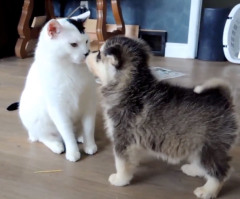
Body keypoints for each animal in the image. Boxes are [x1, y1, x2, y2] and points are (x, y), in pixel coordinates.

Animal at [19, 11, 97, 162]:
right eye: (73, 44)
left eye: (86, 41)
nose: (86, 53)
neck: (72, 68)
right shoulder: (58, 108)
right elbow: (66, 133)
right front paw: (73, 152)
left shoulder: (89, 102)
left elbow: (89, 128)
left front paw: (90, 145)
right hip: (38, 122)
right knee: (42, 137)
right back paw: (56, 145)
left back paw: (80, 136)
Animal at [86, 36, 238, 199]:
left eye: (98, 55)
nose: (87, 53)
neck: (132, 84)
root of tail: (224, 100)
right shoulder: (133, 139)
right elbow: (131, 157)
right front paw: (134, 165)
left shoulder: (122, 138)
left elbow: (121, 163)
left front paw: (120, 179)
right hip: (197, 145)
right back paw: (194, 170)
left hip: (209, 146)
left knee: (222, 171)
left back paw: (207, 190)